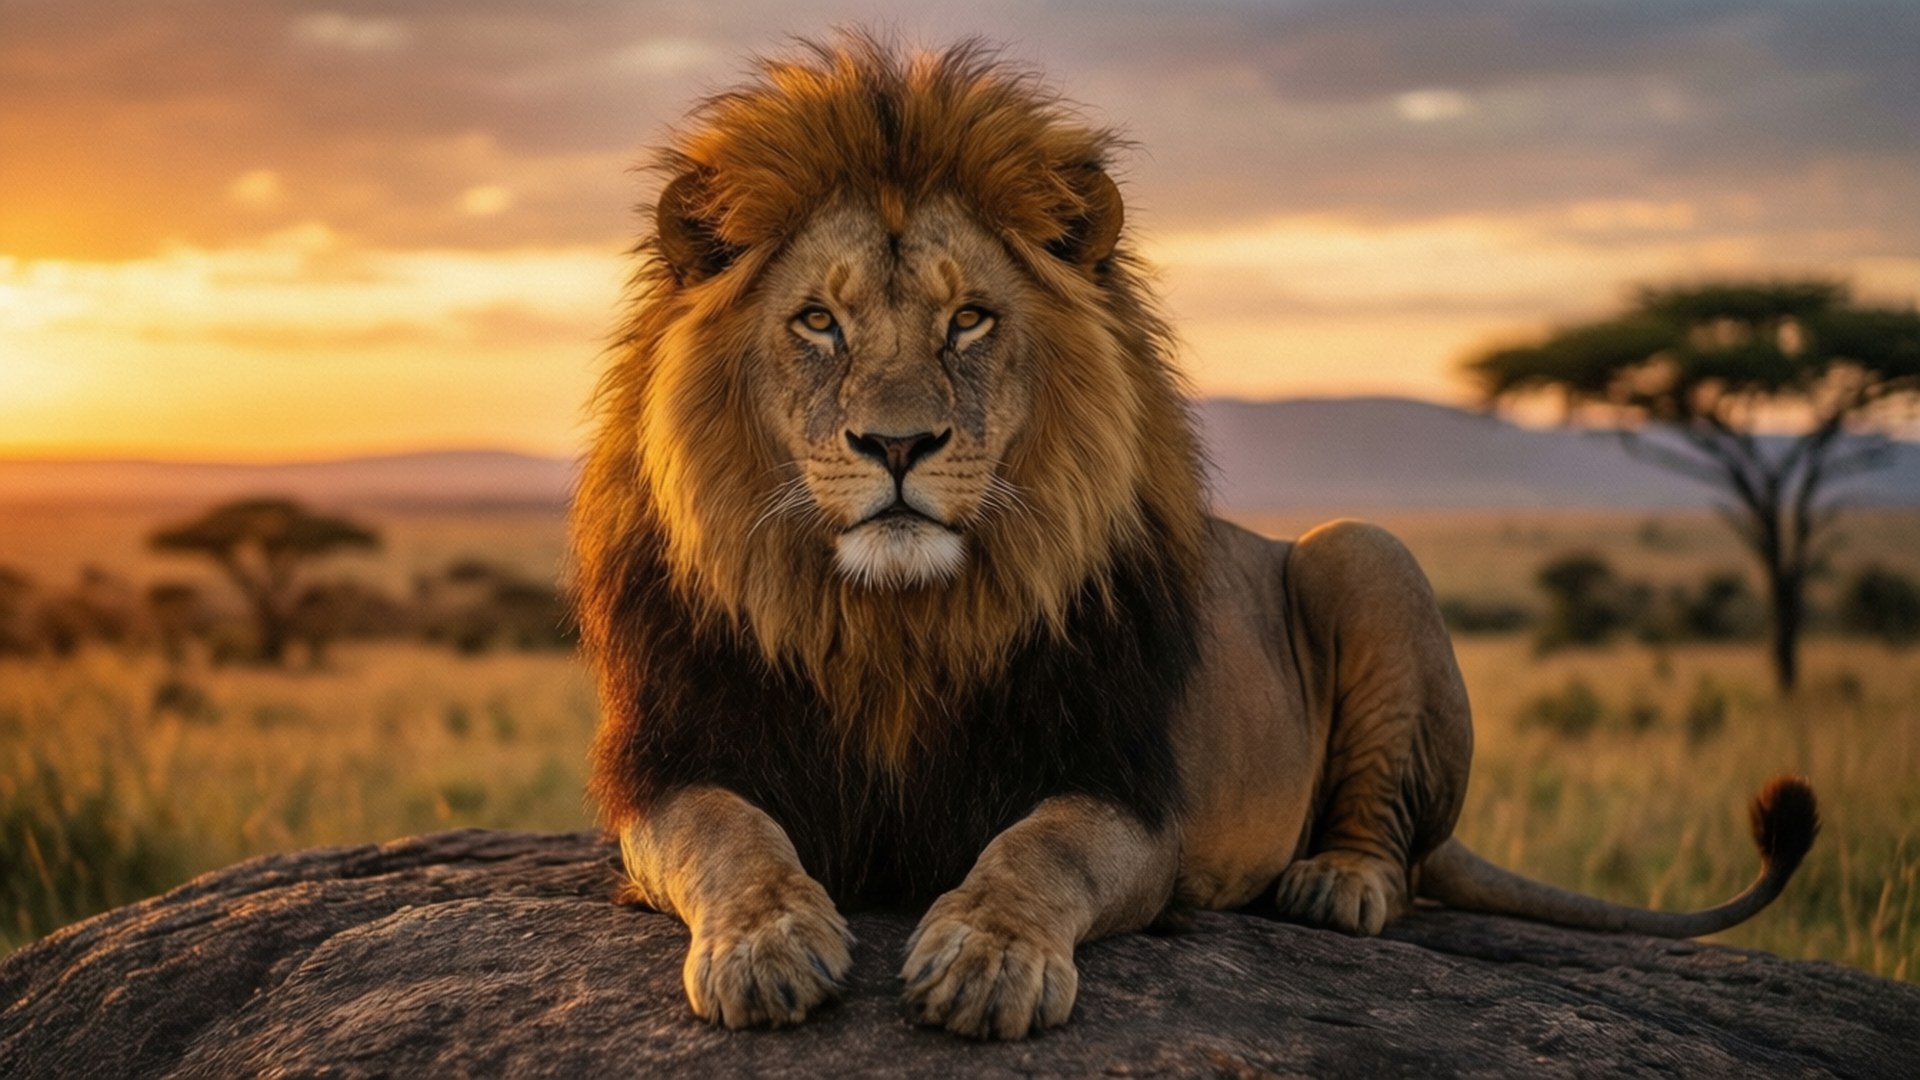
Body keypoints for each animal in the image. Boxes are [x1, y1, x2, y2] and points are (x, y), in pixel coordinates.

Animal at [571, 35, 1819, 1041]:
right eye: (818, 322)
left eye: (969, 319)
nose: (897, 444)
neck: (894, 623)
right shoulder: (675, 764)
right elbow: (728, 834)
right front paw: (766, 946)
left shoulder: (1123, 790)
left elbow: (1041, 849)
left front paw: (988, 959)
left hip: (1365, 551)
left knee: (1398, 847)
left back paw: (1336, 884)